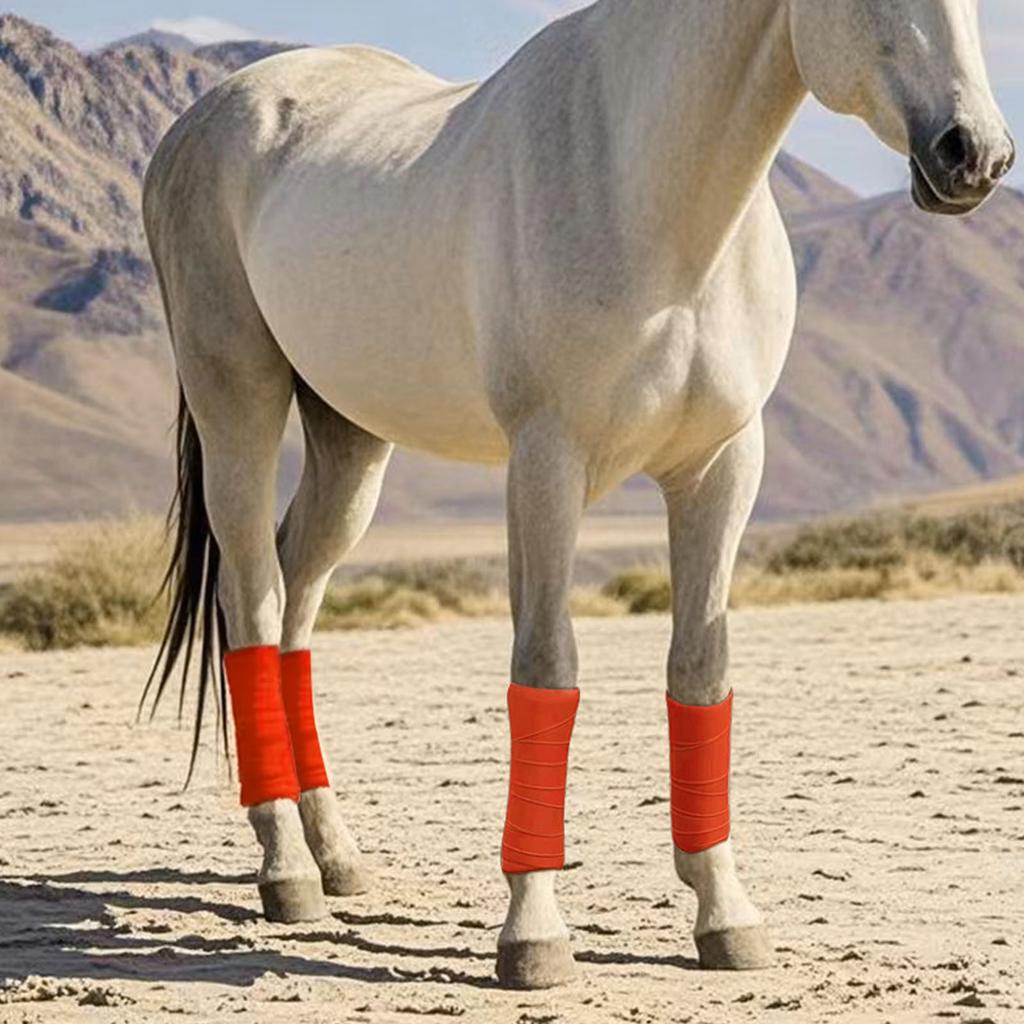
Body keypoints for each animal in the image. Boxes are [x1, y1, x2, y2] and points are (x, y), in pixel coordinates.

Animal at [141, 0, 1014, 990]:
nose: (975, 157)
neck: (653, 199)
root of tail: (197, 124)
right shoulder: (546, 462)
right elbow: (546, 671)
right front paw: (534, 934)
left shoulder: (722, 467)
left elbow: (699, 673)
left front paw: (726, 916)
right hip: (238, 402)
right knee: (252, 599)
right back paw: (285, 870)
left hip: (350, 438)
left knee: (296, 600)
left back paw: (336, 857)